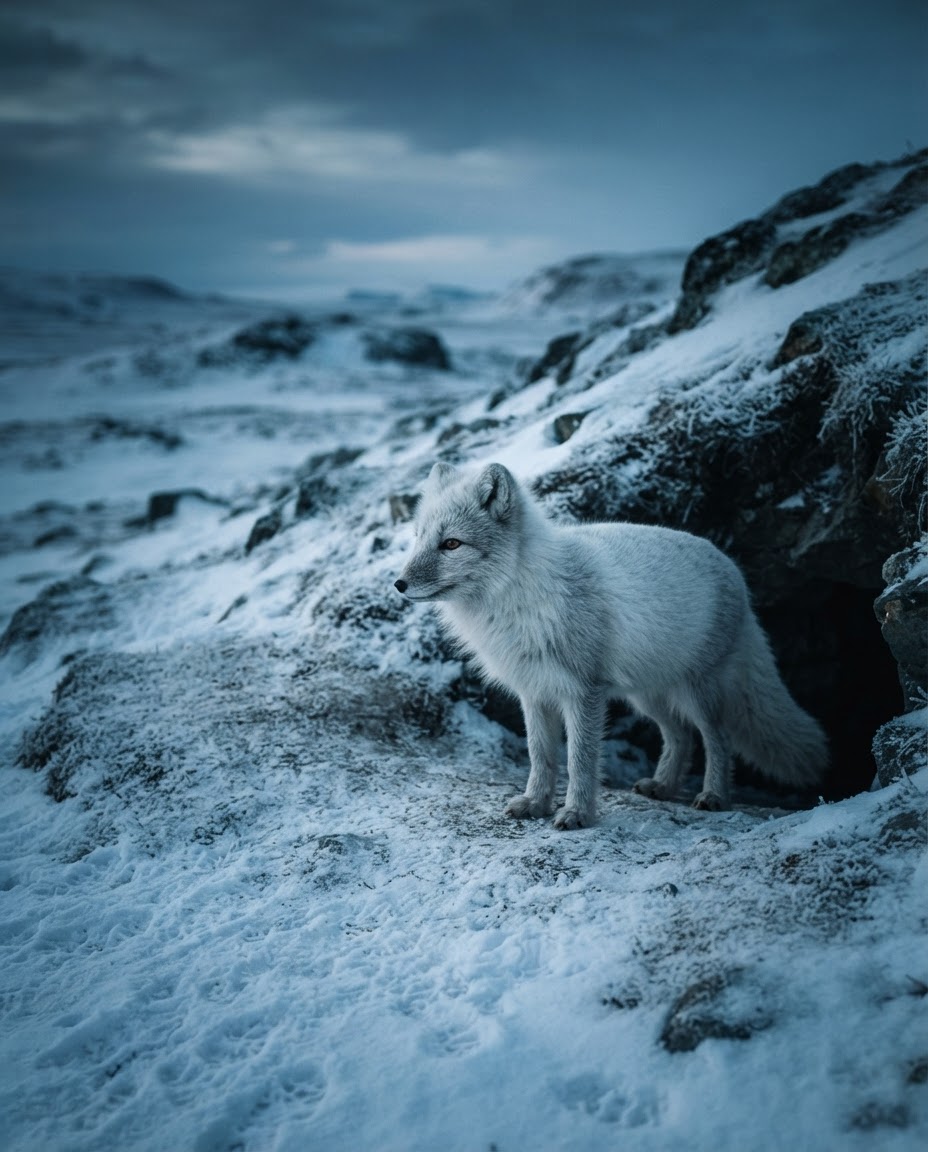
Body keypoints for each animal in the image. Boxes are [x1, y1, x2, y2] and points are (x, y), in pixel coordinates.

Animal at [394, 461, 828, 829]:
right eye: (417, 538)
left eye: (452, 544)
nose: (398, 584)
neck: (520, 595)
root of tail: (732, 568)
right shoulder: (534, 692)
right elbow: (541, 756)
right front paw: (535, 803)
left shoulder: (583, 691)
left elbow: (580, 760)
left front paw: (576, 814)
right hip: (647, 696)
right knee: (680, 736)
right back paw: (663, 786)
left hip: (696, 692)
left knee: (716, 738)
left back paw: (714, 796)